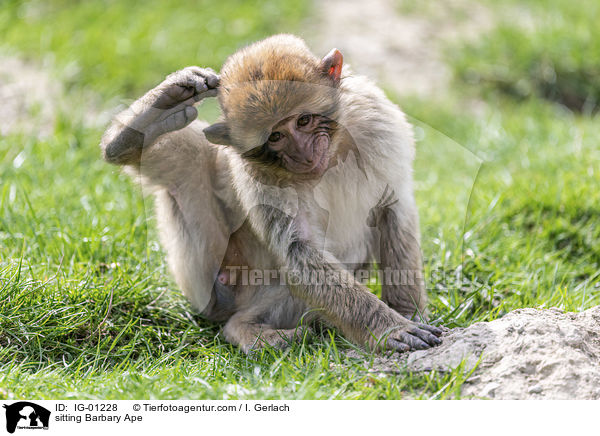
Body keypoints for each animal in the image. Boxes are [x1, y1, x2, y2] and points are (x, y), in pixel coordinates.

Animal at [101, 35, 442, 354]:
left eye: (303, 120)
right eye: (275, 137)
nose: (303, 155)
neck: (331, 156)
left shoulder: (379, 124)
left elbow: (393, 212)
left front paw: (407, 312)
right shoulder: (257, 173)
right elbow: (298, 249)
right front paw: (389, 328)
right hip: (211, 284)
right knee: (192, 164)